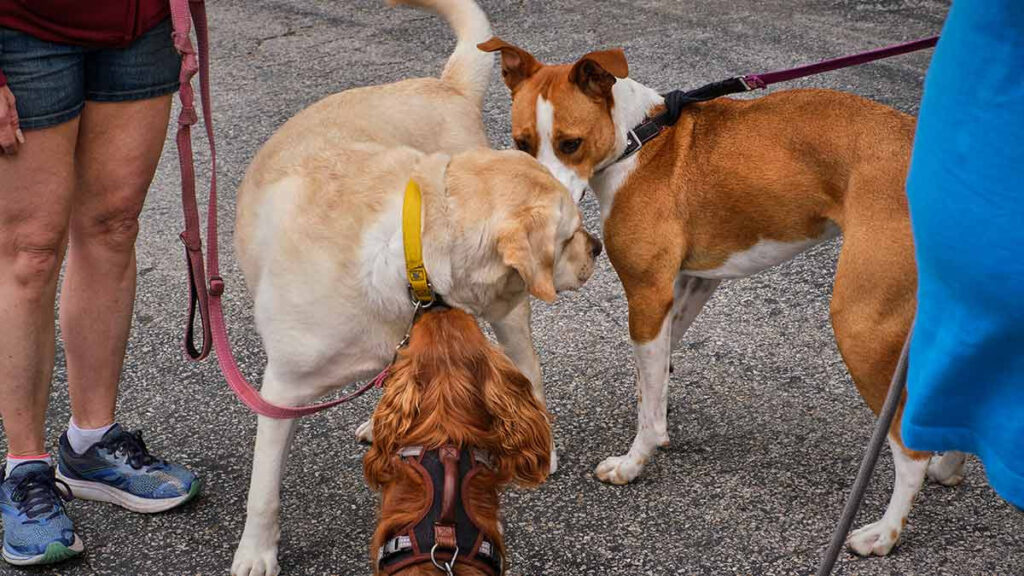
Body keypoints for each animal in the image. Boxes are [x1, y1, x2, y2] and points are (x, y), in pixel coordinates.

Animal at [479, 38, 966, 553]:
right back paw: (949, 467)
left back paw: (884, 534)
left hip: (860, 325)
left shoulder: (648, 294)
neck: (639, 139)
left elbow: (649, 402)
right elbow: (656, 375)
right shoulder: (692, 283)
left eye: (570, 143)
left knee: (909, 450)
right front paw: (654, 412)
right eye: (521, 144)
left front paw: (634, 461)